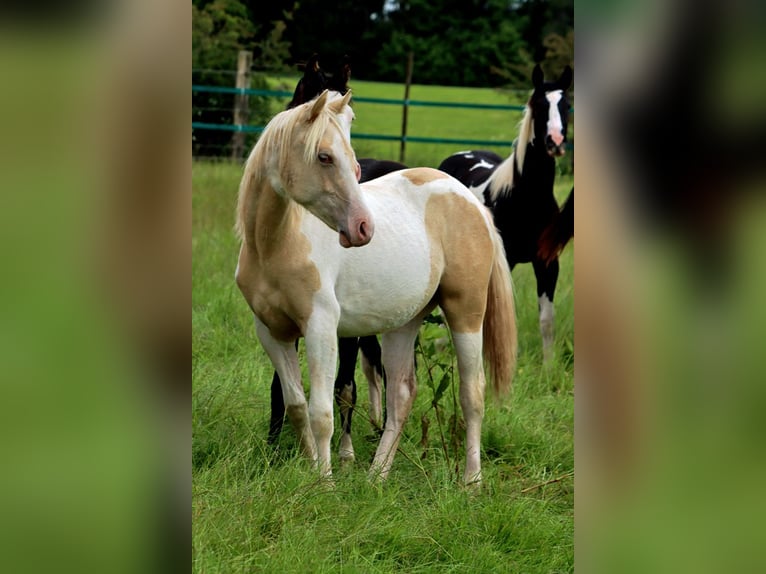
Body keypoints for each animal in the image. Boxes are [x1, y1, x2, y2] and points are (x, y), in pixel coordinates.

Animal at [237, 91, 520, 486]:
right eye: (324, 156)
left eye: (354, 162)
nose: (362, 228)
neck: (277, 244)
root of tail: (470, 201)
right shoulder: (272, 332)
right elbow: (296, 406)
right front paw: (313, 472)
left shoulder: (321, 327)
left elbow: (322, 412)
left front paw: (325, 484)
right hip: (405, 322)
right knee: (401, 393)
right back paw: (376, 476)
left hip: (466, 311)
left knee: (472, 393)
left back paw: (471, 481)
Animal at [440, 65, 572, 362]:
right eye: (539, 105)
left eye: (567, 105)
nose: (556, 142)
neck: (526, 198)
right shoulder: (506, 260)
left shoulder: (548, 263)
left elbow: (547, 319)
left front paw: (548, 365)